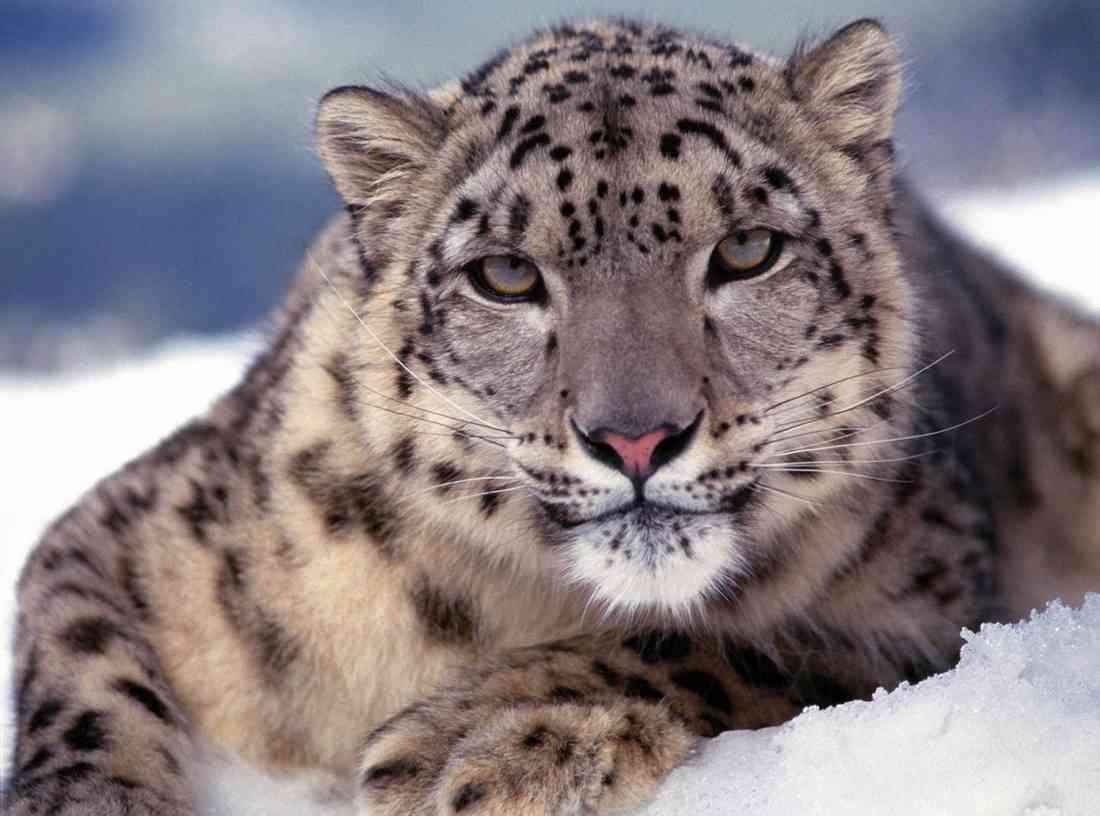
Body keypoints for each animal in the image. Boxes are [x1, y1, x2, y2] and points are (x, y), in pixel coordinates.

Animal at [5, 16, 1100, 816]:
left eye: (747, 250)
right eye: (504, 274)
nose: (636, 436)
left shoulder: (932, 601)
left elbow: (731, 642)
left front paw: (473, 750)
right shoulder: (130, 531)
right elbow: (82, 670)